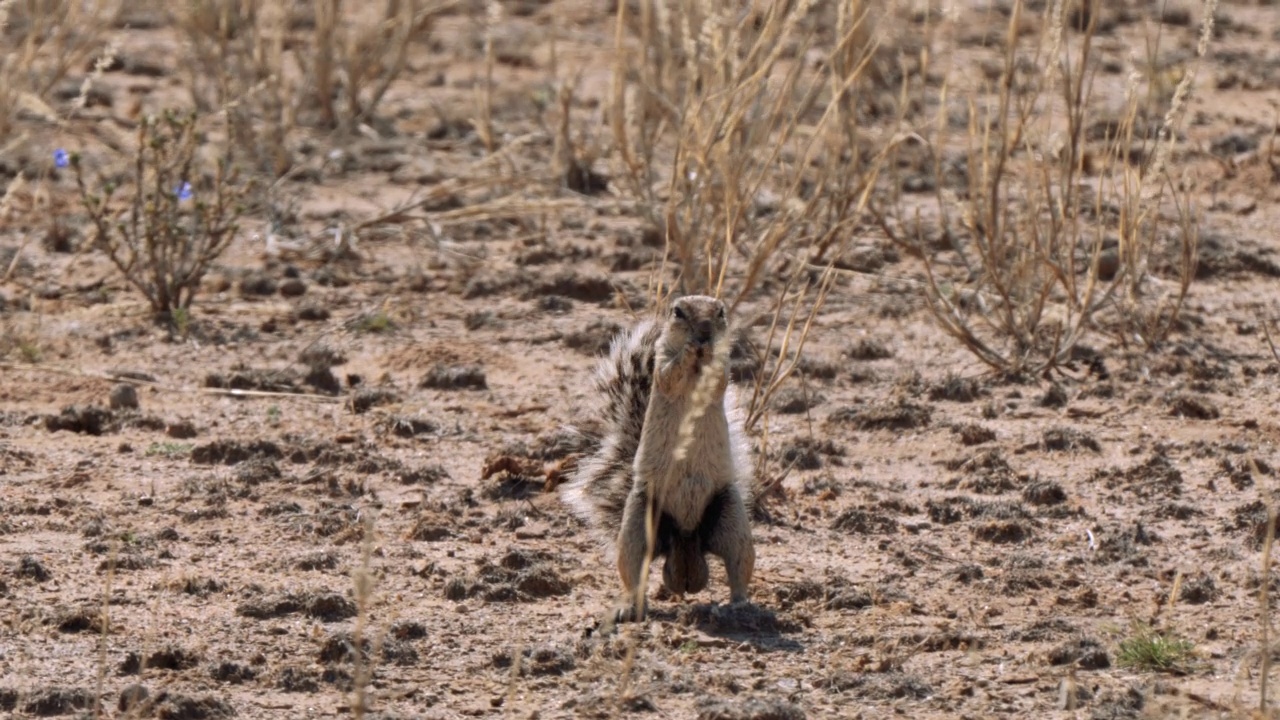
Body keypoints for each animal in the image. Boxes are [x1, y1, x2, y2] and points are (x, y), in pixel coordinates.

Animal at [565, 292, 752, 617]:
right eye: (678, 312)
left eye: (720, 312)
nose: (704, 332)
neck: (697, 366)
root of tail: (686, 546)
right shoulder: (662, 362)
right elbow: (668, 375)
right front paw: (688, 351)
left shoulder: (723, 366)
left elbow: (718, 378)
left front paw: (706, 353)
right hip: (638, 527)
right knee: (634, 574)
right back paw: (630, 608)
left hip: (733, 520)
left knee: (738, 567)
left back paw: (738, 605)